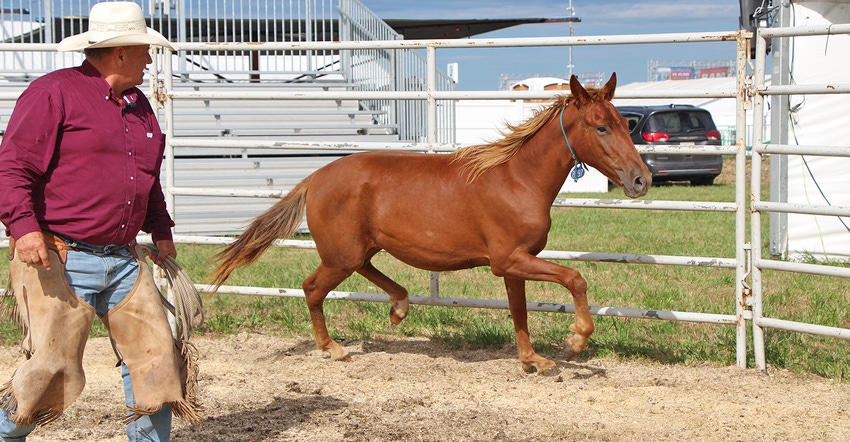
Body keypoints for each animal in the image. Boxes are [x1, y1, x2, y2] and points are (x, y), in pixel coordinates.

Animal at [210, 73, 648, 372]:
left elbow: (519, 311)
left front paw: (532, 360)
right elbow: (575, 278)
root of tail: (314, 179)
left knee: (365, 272)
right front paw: (574, 342)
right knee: (312, 288)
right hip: (340, 255)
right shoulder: (508, 260)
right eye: (601, 127)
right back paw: (333, 347)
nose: (641, 180)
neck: (516, 179)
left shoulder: (515, 264)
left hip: (359, 248)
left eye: (625, 123)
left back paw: (399, 307)